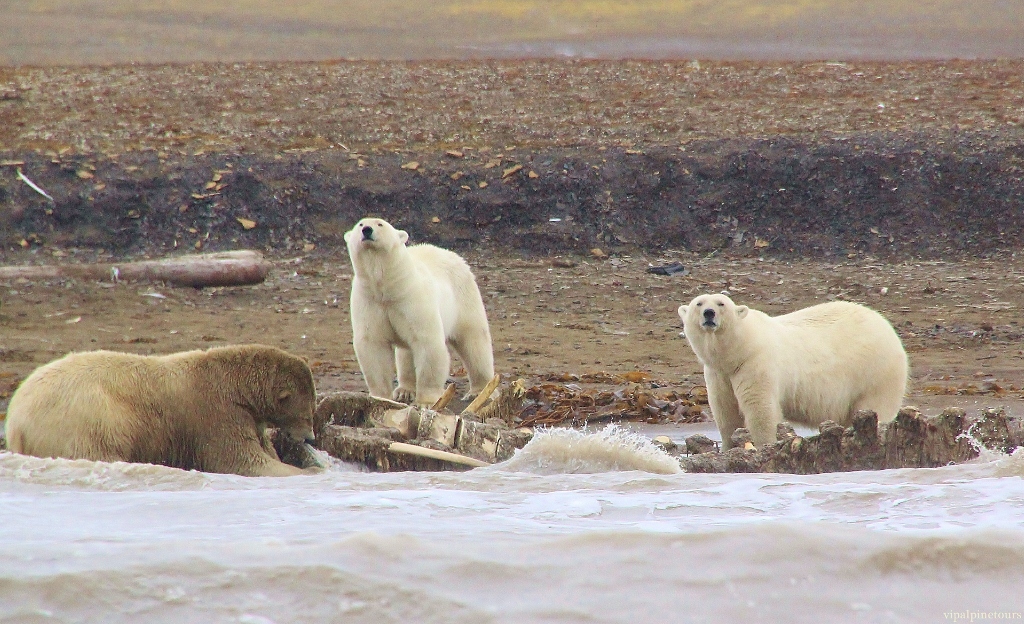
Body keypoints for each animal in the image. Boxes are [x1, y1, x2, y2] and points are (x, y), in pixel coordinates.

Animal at [3, 344, 317, 477]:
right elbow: (242, 459)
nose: (310, 437)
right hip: (88, 419)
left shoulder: (248, 417)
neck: (235, 382)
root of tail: (16, 421)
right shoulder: (216, 414)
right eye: (308, 412)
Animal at [345, 217, 495, 407]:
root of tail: (449, 253)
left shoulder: (413, 298)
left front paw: (426, 401)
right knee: (407, 352)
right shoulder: (369, 301)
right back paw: (405, 390)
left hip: (464, 297)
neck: (388, 287)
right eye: (360, 224)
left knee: (473, 341)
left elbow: (428, 343)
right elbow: (373, 345)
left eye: (380, 224)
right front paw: (380, 397)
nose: (367, 230)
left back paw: (479, 391)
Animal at [678, 294, 908, 450]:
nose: (709, 314)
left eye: (721, 303)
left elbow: (761, 410)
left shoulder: (756, 364)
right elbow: (726, 412)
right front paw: (728, 446)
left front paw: (764, 445)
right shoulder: (719, 373)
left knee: (876, 406)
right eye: (699, 303)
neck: (741, 348)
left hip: (875, 372)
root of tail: (890, 330)